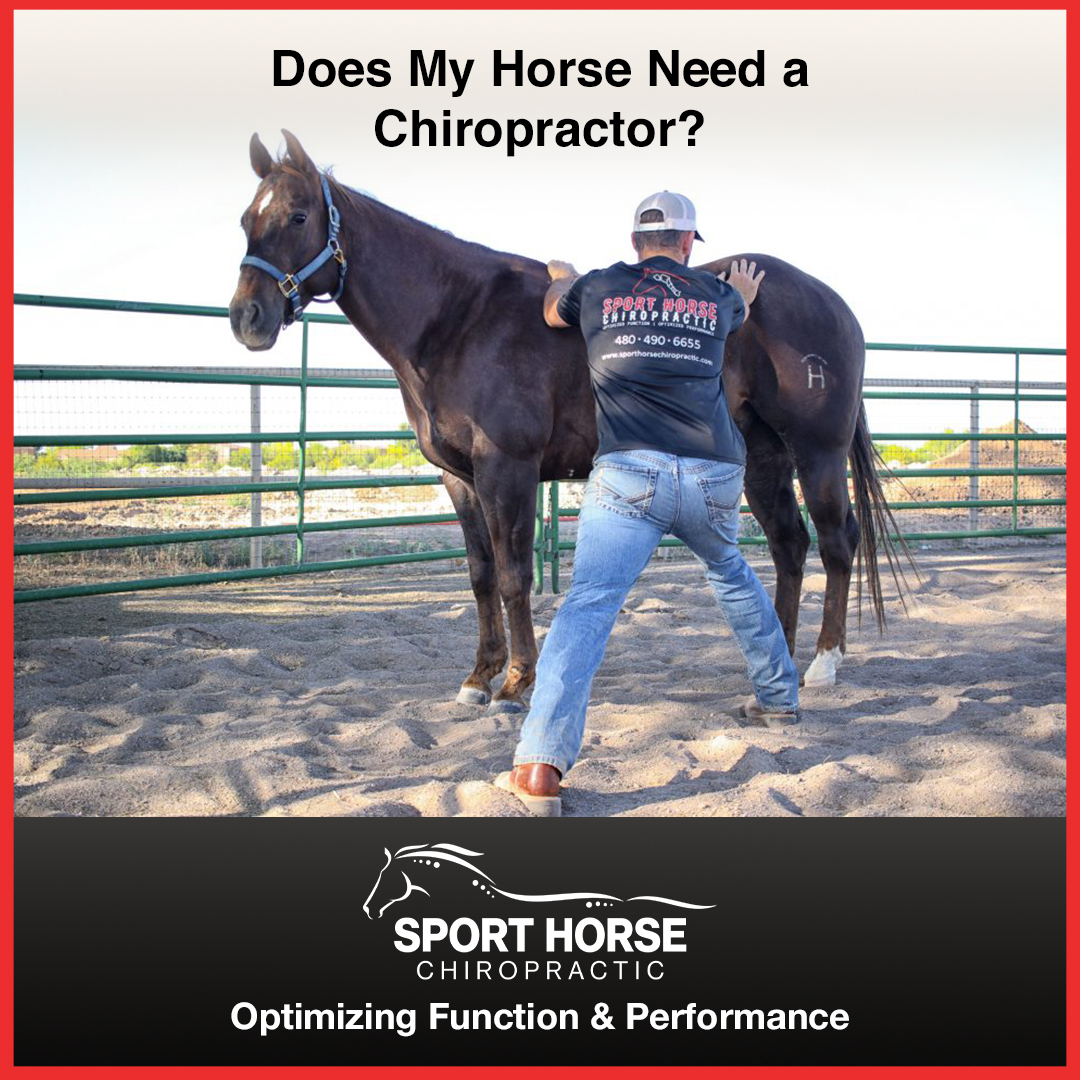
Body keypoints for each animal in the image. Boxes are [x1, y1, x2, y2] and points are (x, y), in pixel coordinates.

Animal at [229, 130, 907, 713]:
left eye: (297, 216)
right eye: (244, 220)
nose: (247, 318)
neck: (457, 320)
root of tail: (832, 301)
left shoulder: (507, 468)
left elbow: (513, 576)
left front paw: (515, 685)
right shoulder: (459, 478)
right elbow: (480, 575)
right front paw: (477, 679)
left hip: (816, 452)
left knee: (837, 541)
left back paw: (823, 662)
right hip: (762, 458)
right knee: (790, 543)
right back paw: (779, 660)